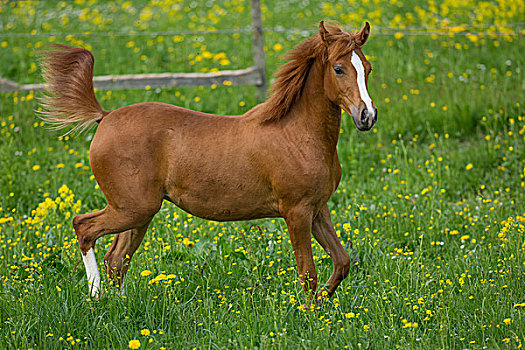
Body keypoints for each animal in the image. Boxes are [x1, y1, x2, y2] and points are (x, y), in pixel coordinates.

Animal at [41, 21, 376, 300]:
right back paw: (96, 298)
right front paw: (308, 316)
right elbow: (308, 273)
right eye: (338, 69)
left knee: (116, 259)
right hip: (132, 208)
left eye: (368, 68)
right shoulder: (296, 212)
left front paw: (322, 305)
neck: (296, 134)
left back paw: (118, 307)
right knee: (84, 228)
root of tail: (105, 116)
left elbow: (342, 261)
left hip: (138, 213)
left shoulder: (318, 208)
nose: (367, 116)